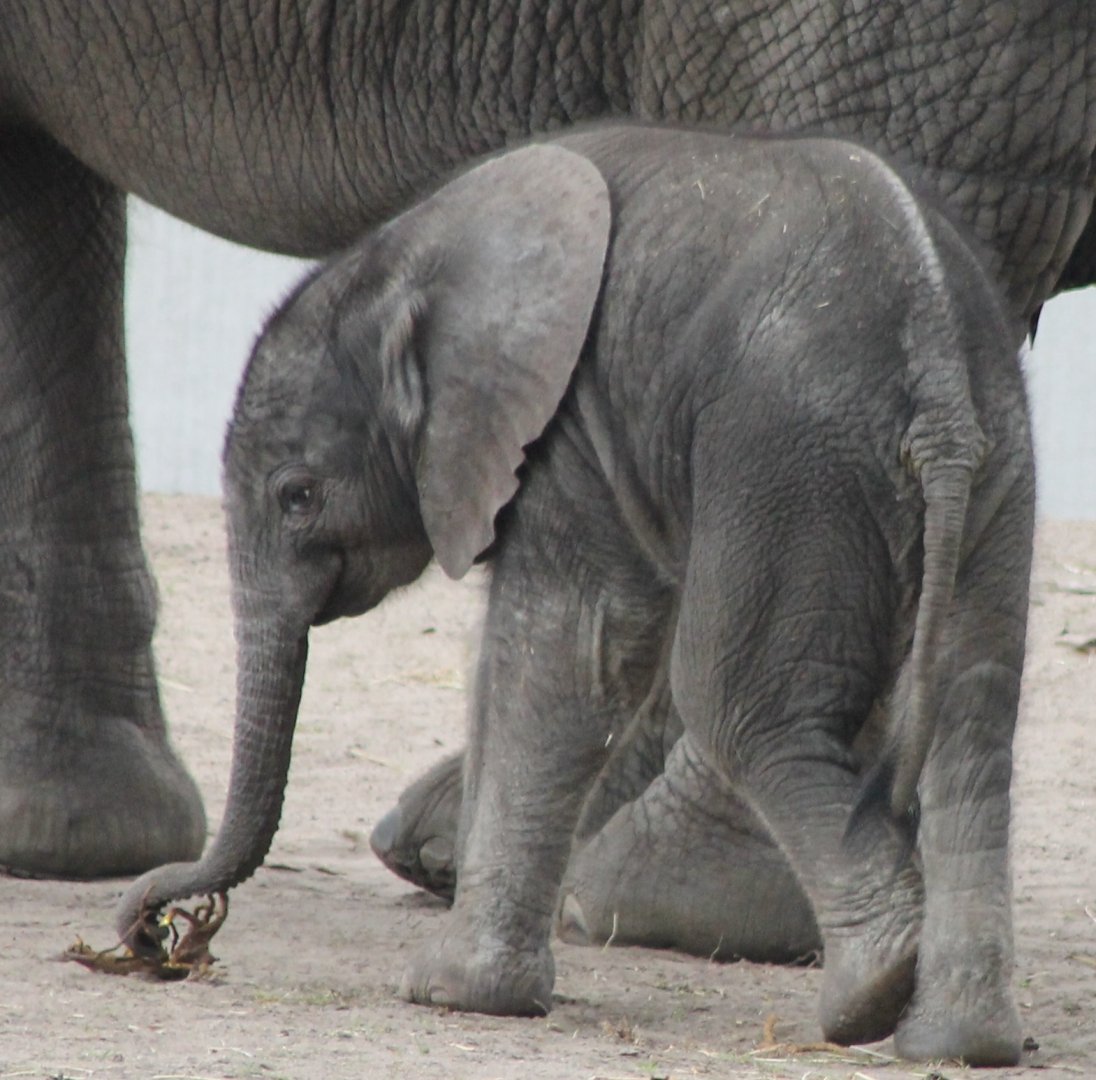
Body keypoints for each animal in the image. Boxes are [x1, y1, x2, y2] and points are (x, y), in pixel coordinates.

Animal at [115, 125, 1035, 1064]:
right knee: (973, 718)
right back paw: (957, 1042)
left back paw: (868, 996)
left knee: (744, 706)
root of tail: (939, 395)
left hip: (788, 457)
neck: (413, 250)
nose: (159, 929)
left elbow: (575, 650)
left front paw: (453, 990)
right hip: (994, 461)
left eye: (297, 495)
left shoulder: (567, 418)